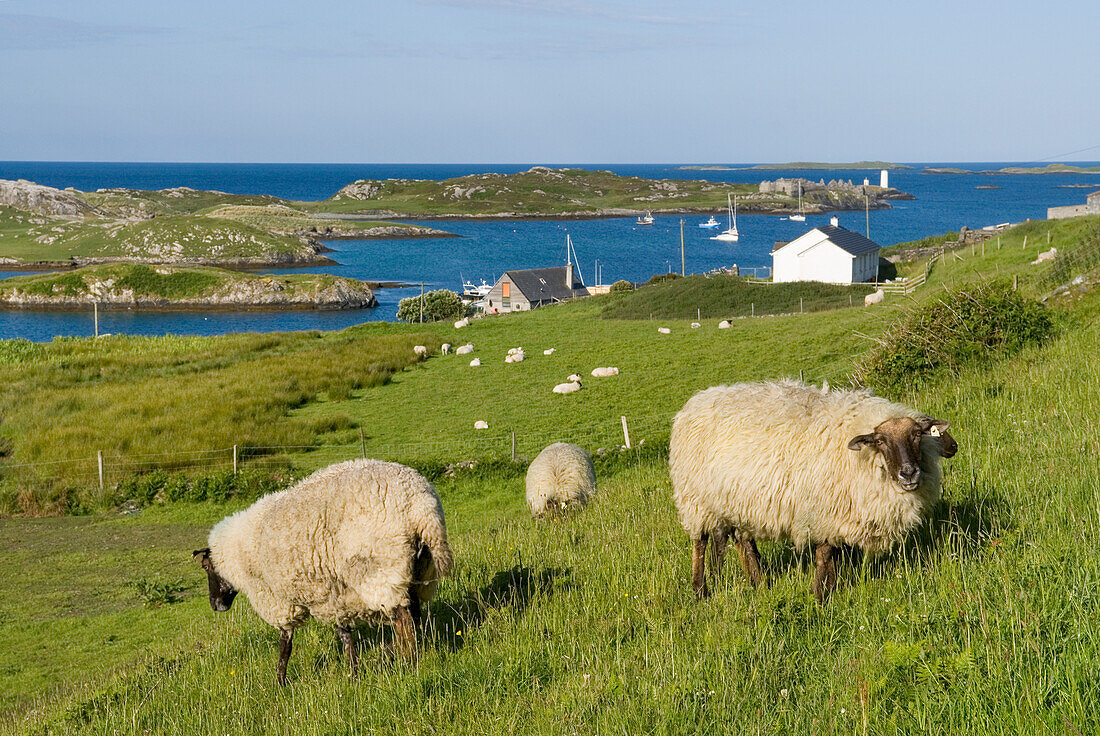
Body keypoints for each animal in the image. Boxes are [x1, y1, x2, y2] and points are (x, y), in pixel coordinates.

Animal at [193, 459, 451, 682]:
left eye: (206, 567)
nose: (215, 605)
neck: (240, 552)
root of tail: (421, 506)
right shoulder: (333, 594)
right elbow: (344, 634)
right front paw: (353, 672)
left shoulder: (281, 601)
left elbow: (285, 643)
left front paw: (280, 682)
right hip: (419, 571)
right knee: (415, 618)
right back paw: (397, 654)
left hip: (382, 571)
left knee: (404, 622)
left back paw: (403, 659)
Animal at [664, 382, 959, 598]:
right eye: (881, 441)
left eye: (917, 435)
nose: (908, 473)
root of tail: (695, 400)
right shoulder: (822, 512)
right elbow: (825, 555)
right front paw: (819, 595)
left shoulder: (838, 514)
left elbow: (834, 554)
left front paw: (828, 588)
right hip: (695, 499)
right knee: (700, 543)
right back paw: (700, 590)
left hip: (737, 501)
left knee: (743, 540)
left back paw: (758, 583)